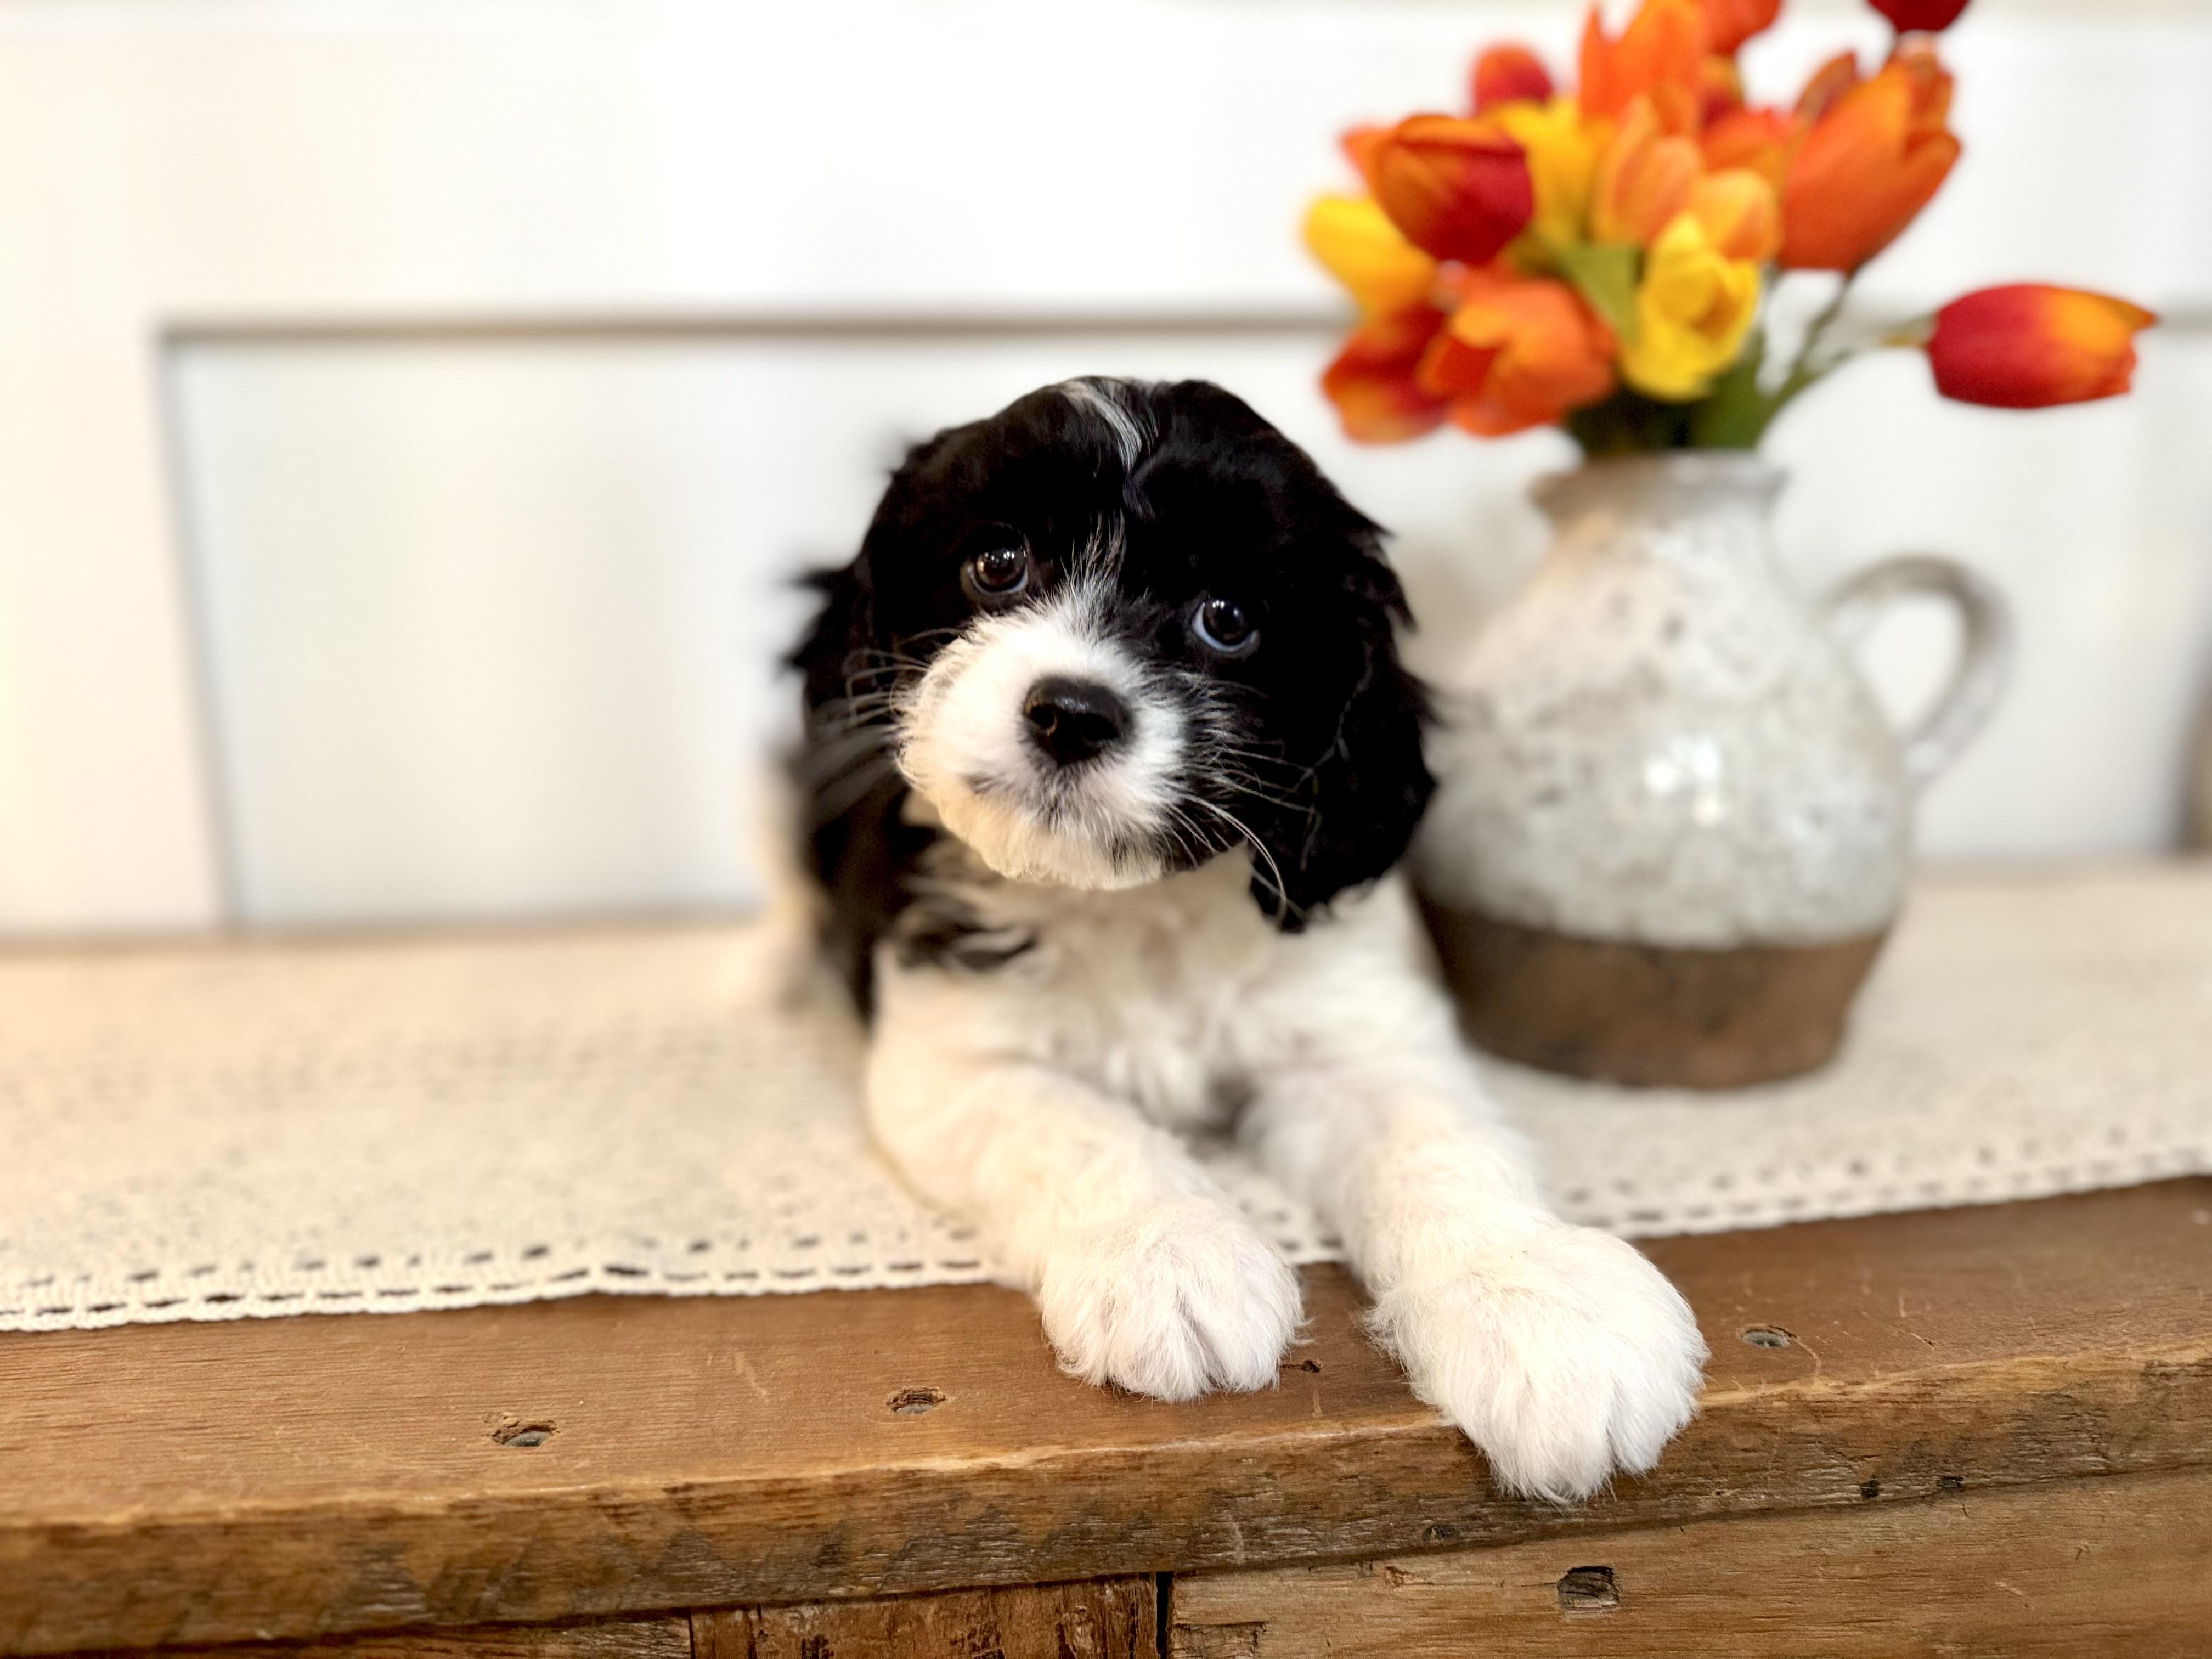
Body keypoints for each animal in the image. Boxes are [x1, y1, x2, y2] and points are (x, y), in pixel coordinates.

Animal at [788, 376, 1705, 1500]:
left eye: (1227, 620)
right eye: (998, 562)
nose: (1071, 711)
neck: (1134, 905)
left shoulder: (1348, 1034)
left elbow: (1437, 1139)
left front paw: (1540, 1300)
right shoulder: (956, 1055)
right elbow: (1073, 1123)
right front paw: (1172, 1255)